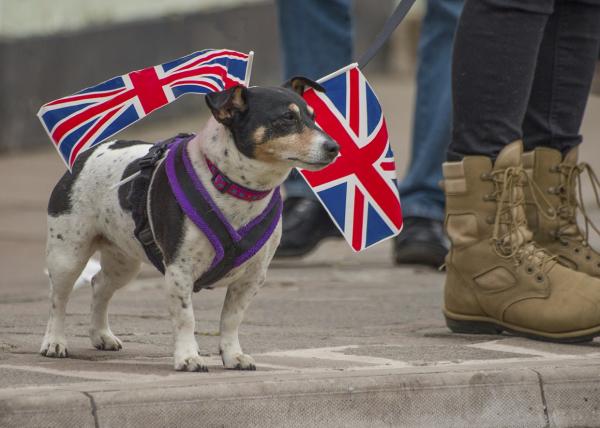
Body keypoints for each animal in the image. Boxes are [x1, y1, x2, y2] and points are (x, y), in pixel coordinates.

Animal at [42, 77, 340, 372]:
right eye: (288, 118)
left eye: (314, 117)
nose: (334, 147)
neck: (232, 186)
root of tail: (86, 154)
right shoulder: (179, 271)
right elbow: (186, 319)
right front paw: (188, 357)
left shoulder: (252, 277)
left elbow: (231, 319)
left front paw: (232, 355)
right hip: (67, 256)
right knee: (58, 299)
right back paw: (54, 341)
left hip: (122, 262)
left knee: (99, 284)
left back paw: (101, 334)